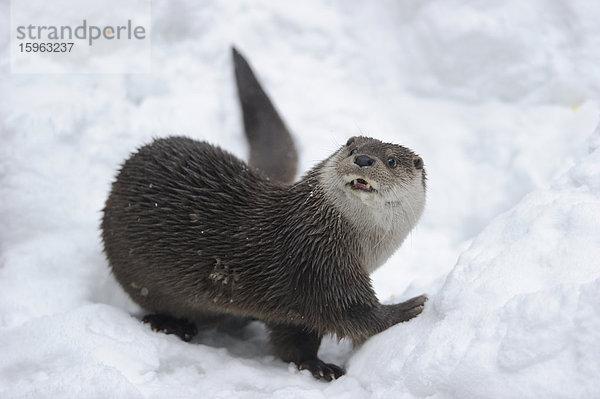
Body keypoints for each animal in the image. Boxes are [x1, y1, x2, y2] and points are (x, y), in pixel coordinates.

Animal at [101, 47, 426, 382]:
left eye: (391, 161)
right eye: (351, 151)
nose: (363, 159)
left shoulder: (309, 283)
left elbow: (295, 335)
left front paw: (314, 363)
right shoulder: (316, 264)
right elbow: (352, 312)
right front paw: (406, 309)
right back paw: (170, 323)